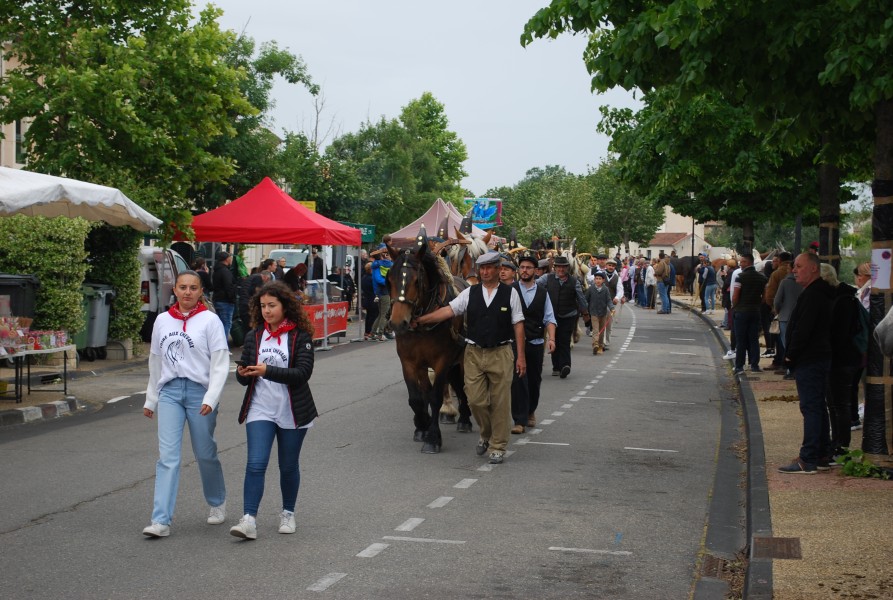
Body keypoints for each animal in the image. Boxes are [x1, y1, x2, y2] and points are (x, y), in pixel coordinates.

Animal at [388, 239, 474, 454]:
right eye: (389, 280)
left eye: (416, 282)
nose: (397, 323)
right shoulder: (410, 362)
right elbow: (417, 397)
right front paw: (422, 426)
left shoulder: (442, 361)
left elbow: (435, 397)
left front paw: (433, 437)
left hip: (461, 359)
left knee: (462, 386)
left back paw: (465, 418)